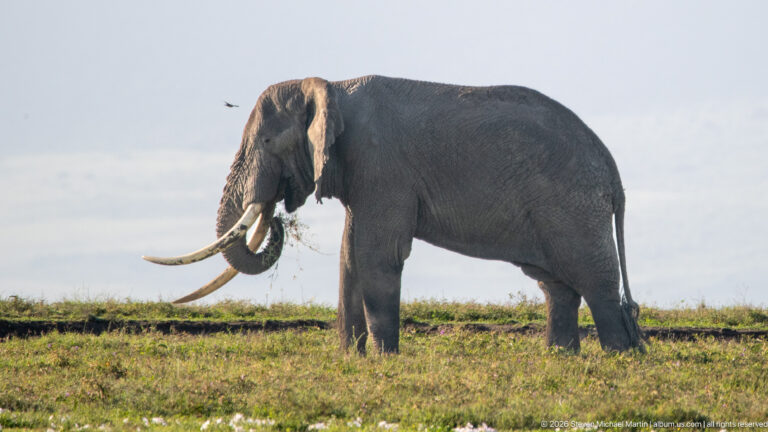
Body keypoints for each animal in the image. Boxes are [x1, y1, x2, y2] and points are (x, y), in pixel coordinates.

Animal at [144, 75, 644, 354]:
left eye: (267, 142)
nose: (280, 218)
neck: (330, 86)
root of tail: (614, 172)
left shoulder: (380, 166)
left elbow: (375, 254)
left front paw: (385, 359)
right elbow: (351, 255)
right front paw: (351, 360)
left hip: (572, 206)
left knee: (596, 283)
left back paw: (619, 360)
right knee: (556, 285)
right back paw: (561, 360)